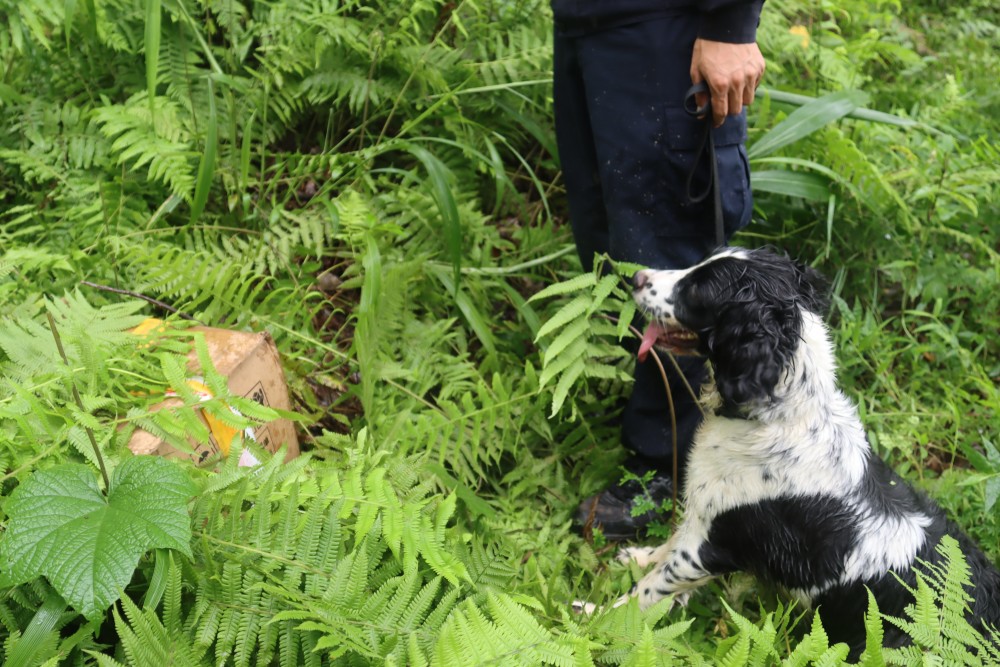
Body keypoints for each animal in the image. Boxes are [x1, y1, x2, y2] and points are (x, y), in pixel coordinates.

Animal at [608, 245, 1000, 652]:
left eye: (700, 289)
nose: (636, 277)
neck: (780, 415)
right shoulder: (703, 513)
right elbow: (667, 545)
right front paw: (638, 557)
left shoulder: (710, 546)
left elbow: (648, 590)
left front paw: (601, 618)